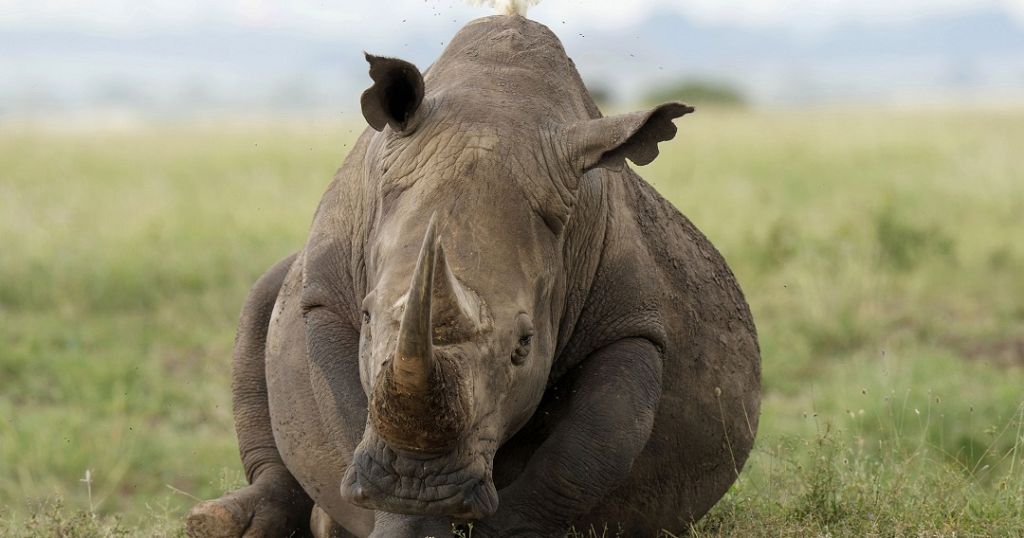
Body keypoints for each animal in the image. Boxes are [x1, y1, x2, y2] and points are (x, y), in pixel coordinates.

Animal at [187, 13, 760, 538]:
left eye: (524, 345)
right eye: (367, 317)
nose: (417, 485)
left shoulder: (632, 323)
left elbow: (582, 455)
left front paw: (460, 525)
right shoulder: (323, 295)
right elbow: (342, 410)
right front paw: (400, 519)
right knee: (260, 305)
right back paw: (225, 522)